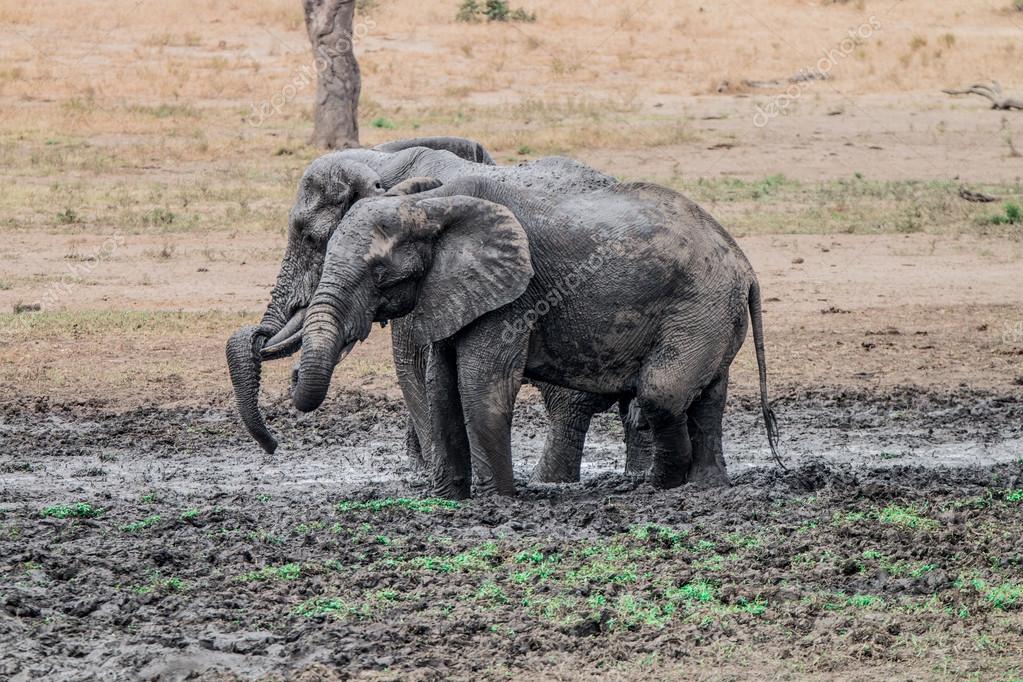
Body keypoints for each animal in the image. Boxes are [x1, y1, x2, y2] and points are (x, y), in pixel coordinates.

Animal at [225, 138, 649, 480]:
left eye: (313, 239)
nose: (273, 446)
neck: (380, 161)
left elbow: (412, 364)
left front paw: (428, 473)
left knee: (569, 404)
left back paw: (552, 481)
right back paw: (638, 477)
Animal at [288, 175, 780, 498]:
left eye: (378, 273)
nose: (293, 377)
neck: (432, 204)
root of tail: (744, 263)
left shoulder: (514, 295)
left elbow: (481, 384)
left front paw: (499, 500)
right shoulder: (455, 289)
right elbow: (441, 385)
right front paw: (450, 499)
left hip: (700, 306)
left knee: (661, 394)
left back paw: (660, 486)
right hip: (712, 313)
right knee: (707, 397)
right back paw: (706, 487)